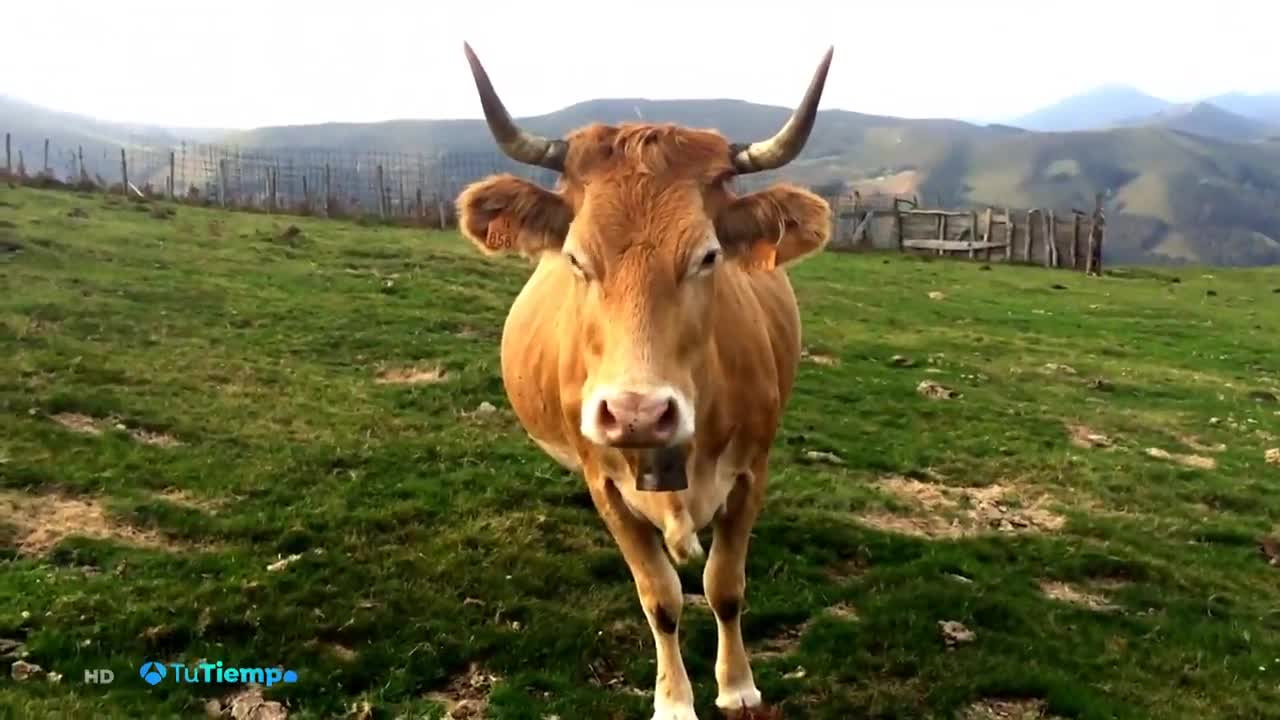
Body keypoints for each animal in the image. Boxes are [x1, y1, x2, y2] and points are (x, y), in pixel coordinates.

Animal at [454, 42, 834, 720]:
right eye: (575, 257)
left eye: (708, 256)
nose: (636, 413)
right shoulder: (606, 486)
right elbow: (660, 596)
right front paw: (674, 699)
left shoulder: (751, 472)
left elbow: (725, 586)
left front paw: (737, 685)